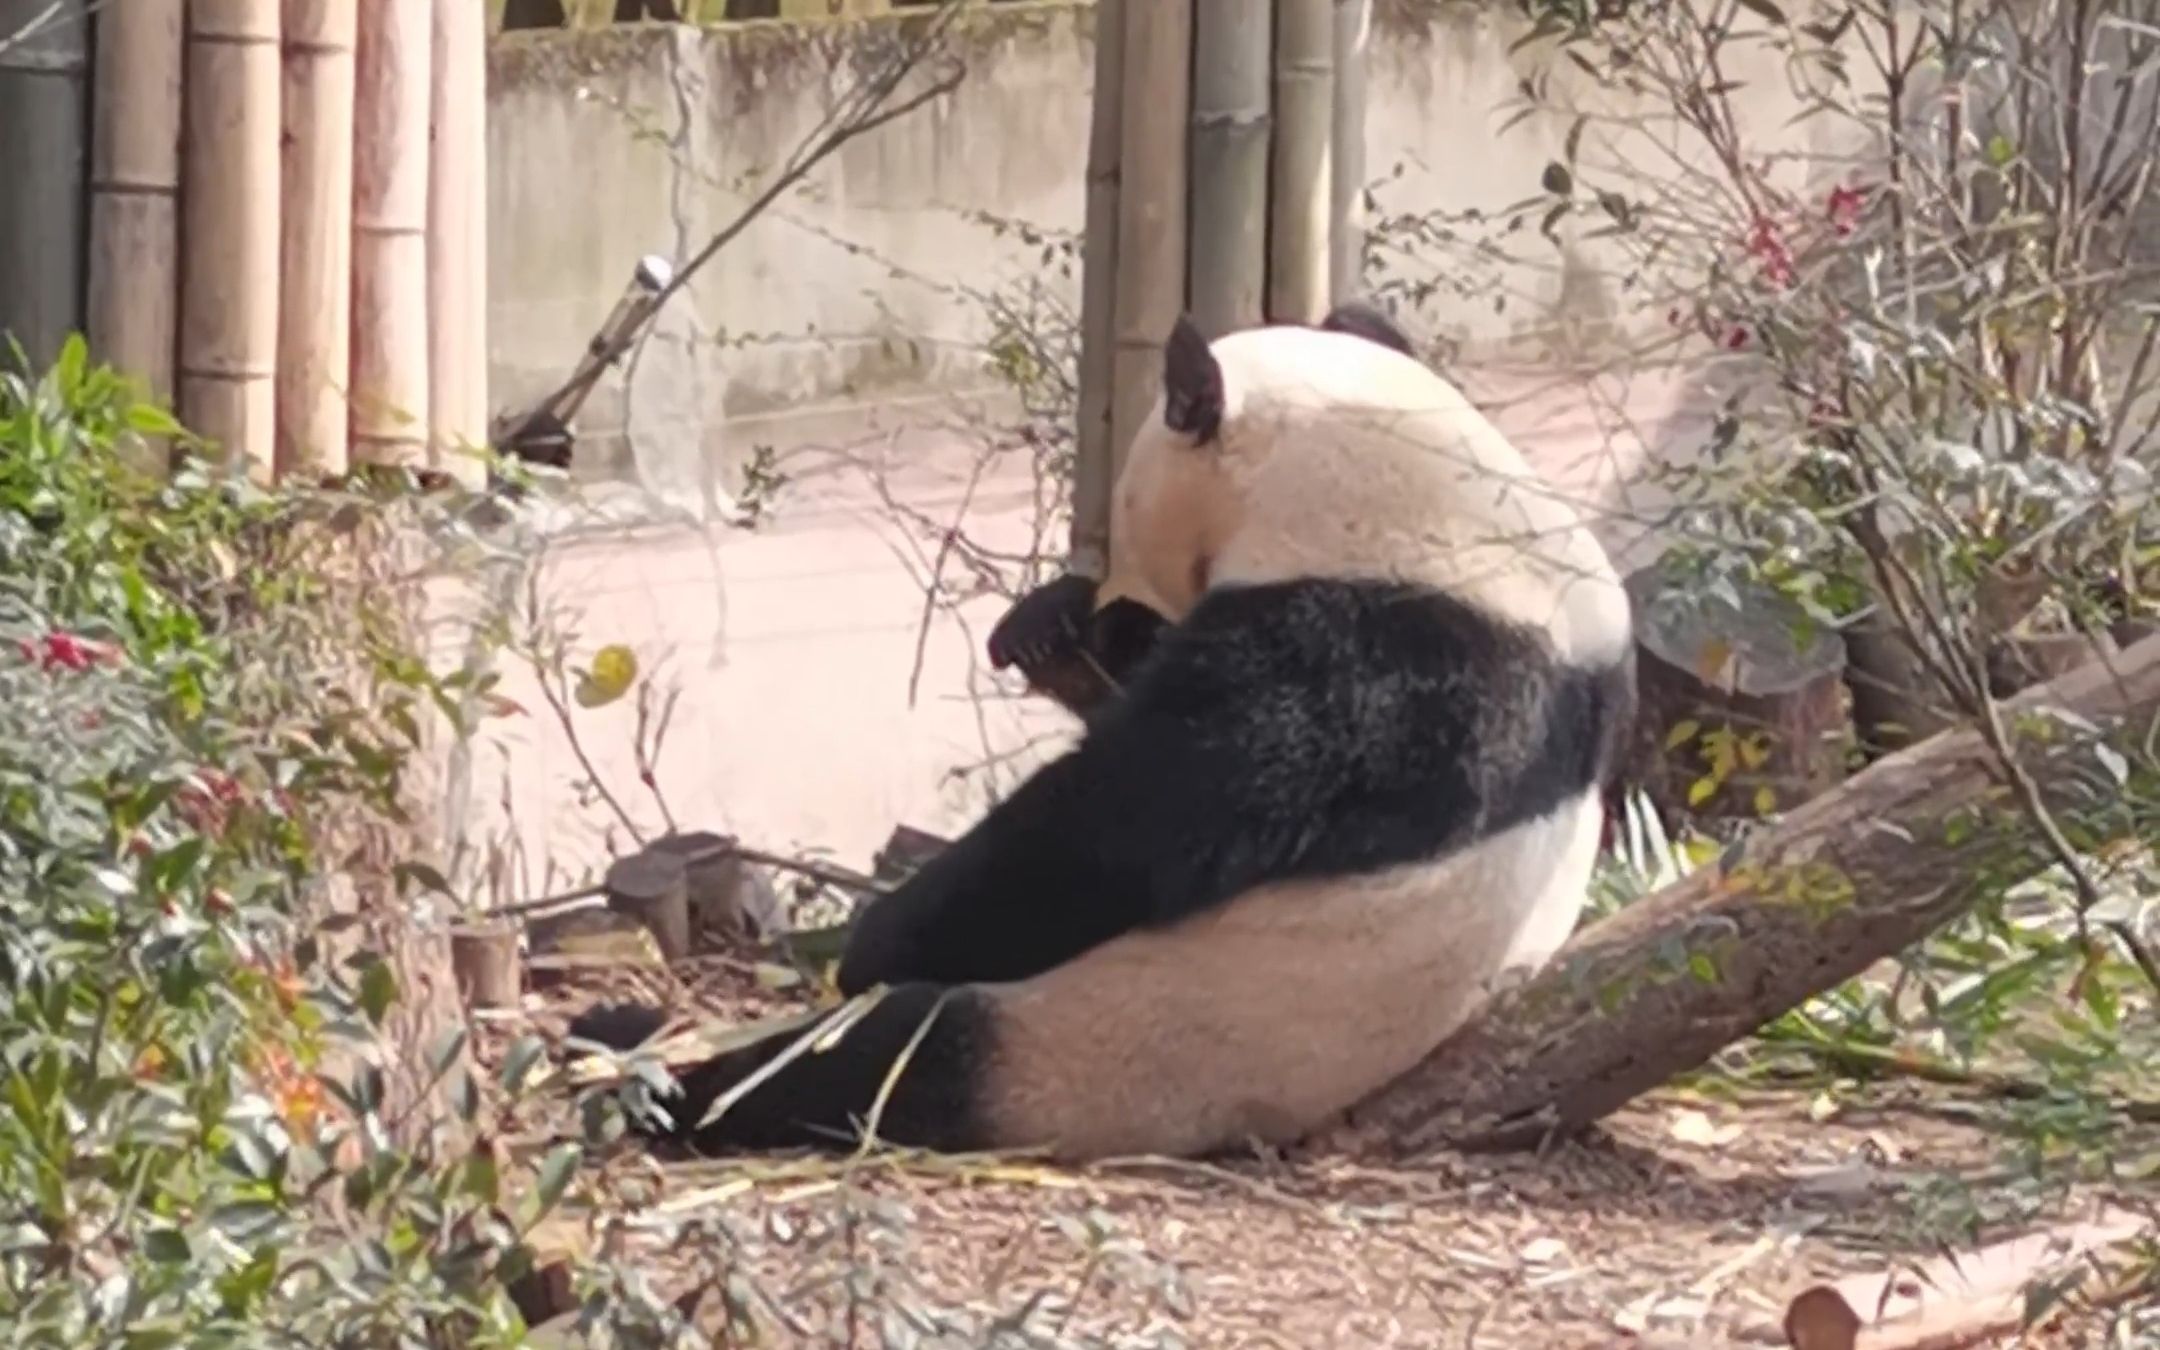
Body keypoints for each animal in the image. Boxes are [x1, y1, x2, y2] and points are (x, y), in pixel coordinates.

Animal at [574, 304, 1632, 1157]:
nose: (1109, 589)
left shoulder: (1374, 657)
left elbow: (1121, 828)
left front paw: (875, 938)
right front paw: (1054, 626)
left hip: (1098, 1043)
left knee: (881, 1063)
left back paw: (635, 1050)